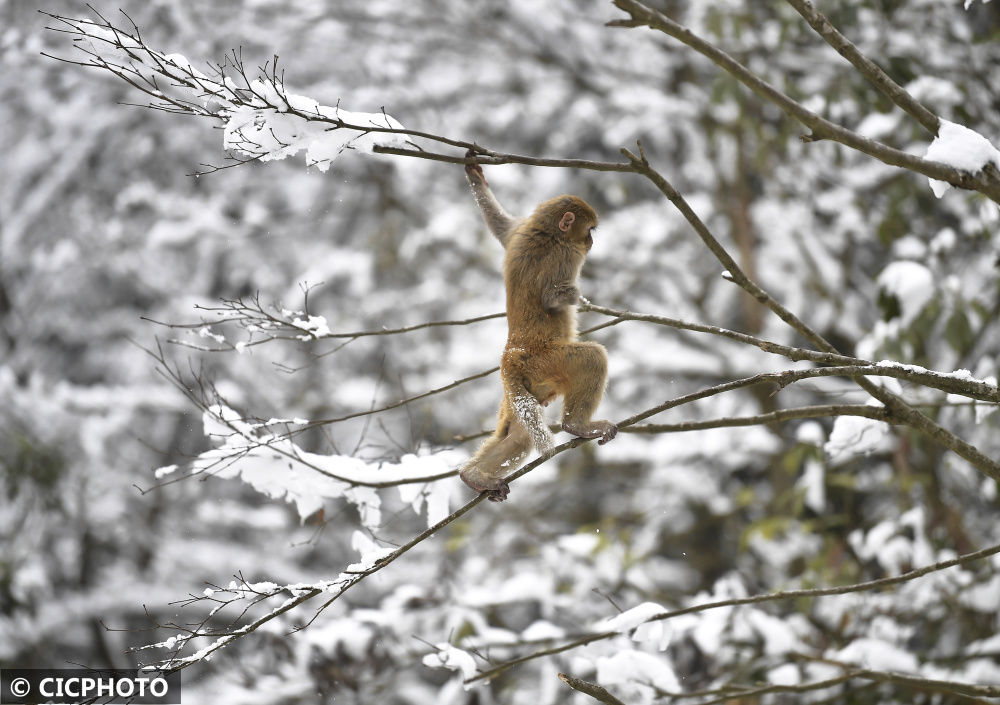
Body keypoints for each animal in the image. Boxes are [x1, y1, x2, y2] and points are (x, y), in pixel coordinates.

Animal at [460, 155, 616, 500]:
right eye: (589, 230)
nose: (592, 240)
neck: (545, 232)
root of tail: (512, 354)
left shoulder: (519, 232)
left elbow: (501, 227)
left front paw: (476, 176)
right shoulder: (565, 255)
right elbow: (551, 298)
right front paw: (571, 297)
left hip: (518, 390)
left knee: (518, 435)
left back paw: (472, 476)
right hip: (547, 360)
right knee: (592, 358)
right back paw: (576, 426)